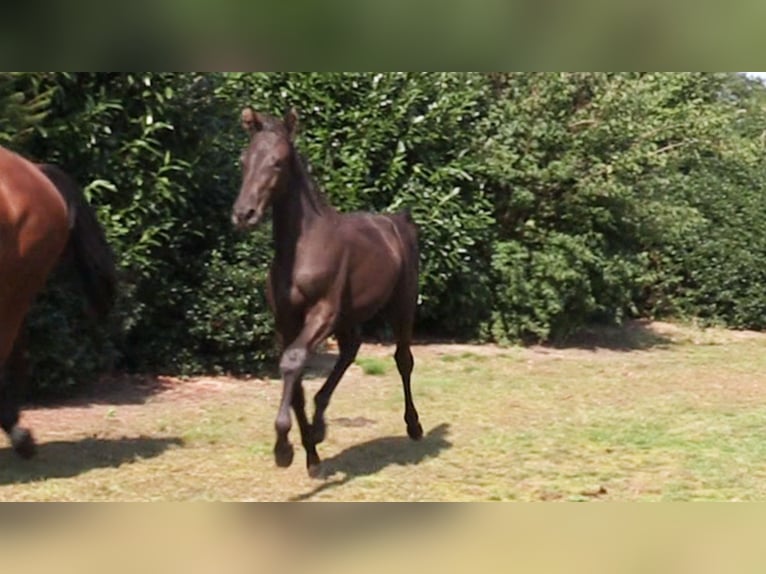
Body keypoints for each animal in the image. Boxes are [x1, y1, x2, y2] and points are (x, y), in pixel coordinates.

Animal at [234, 107, 426, 476]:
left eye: (278, 162)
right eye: (243, 160)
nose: (243, 214)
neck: (302, 248)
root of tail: (399, 221)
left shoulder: (323, 311)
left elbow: (293, 361)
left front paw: (284, 449)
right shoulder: (286, 319)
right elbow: (294, 378)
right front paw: (310, 451)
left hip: (402, 304)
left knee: (403, 359)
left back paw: (414, 426)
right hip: (350, 315)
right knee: (350, 350)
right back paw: (320, 425)